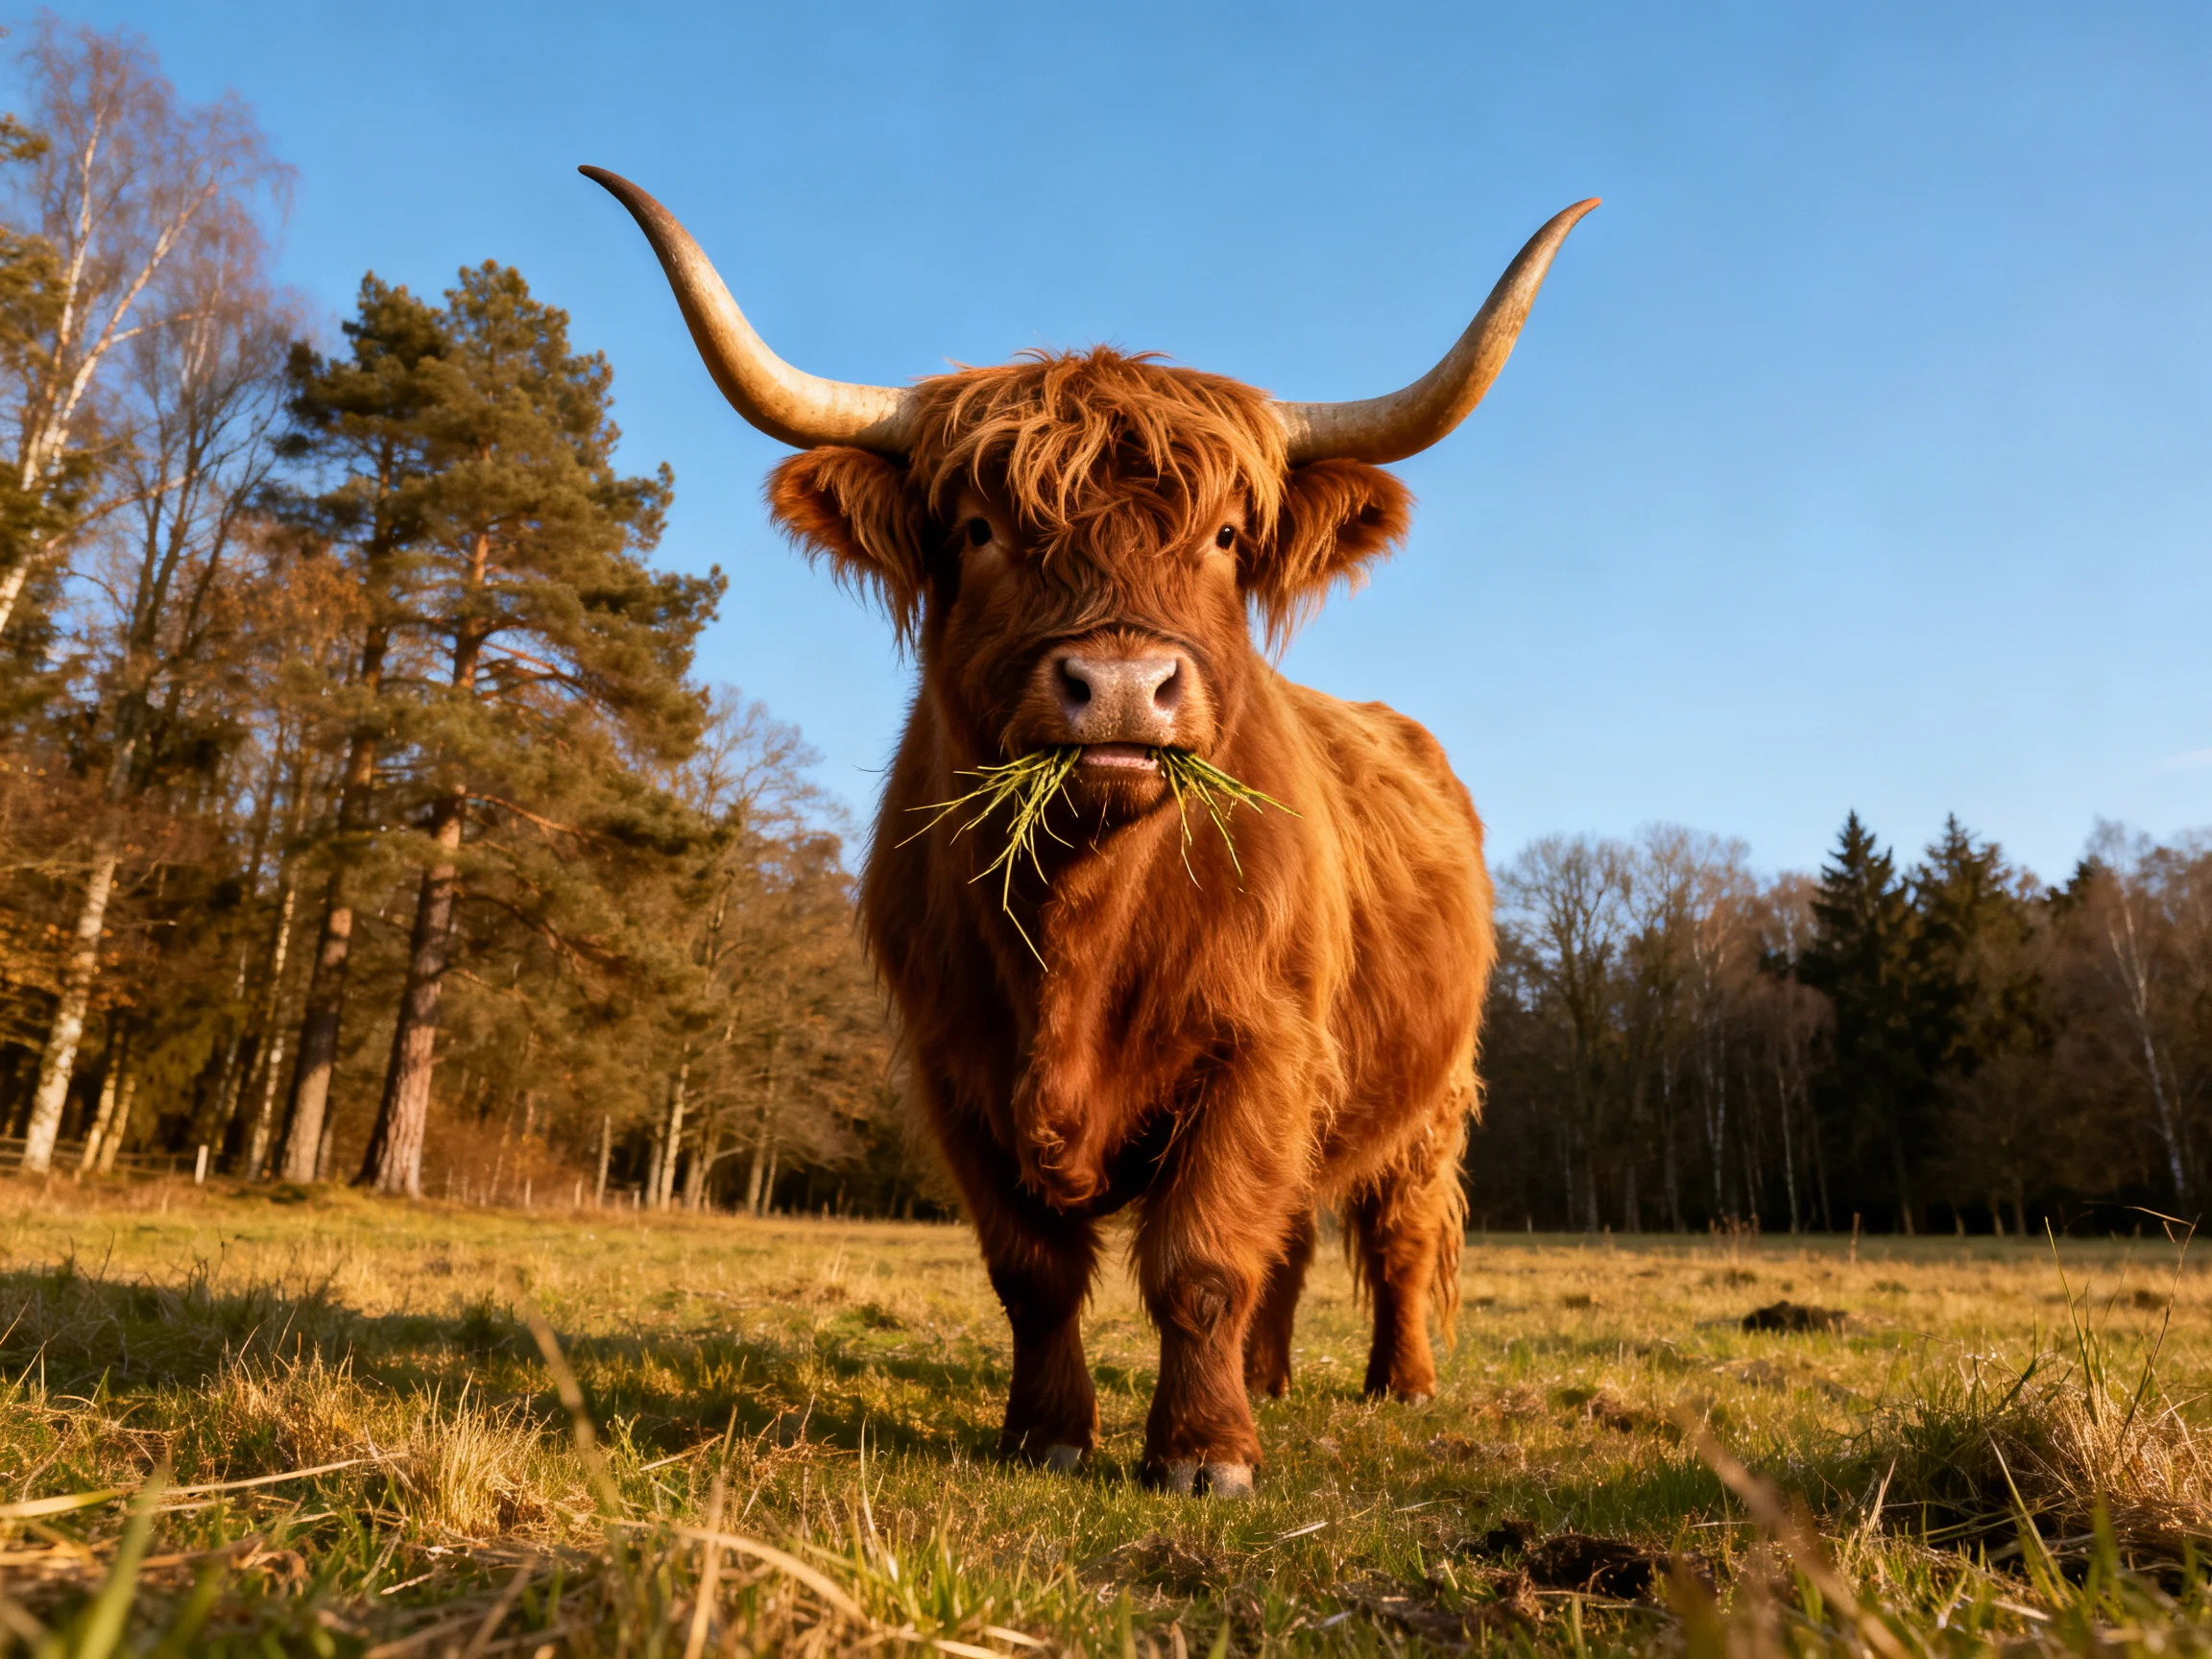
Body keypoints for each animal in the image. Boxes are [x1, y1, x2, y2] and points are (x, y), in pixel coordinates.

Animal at [584, 167, 1594, 1495]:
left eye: (1225, 537)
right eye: (977, 529)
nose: (1120, 687)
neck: (1080, 919)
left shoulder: (1258, 1050)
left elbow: (1202, 1260)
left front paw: (1205, 1454)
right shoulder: (954, 1067)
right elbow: (1035, 1271)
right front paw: (1050, 1431)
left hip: (1431, 1093)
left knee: (1399, 1232)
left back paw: (1399, 1383)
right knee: (1294, 1239)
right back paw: (1272, 1380)